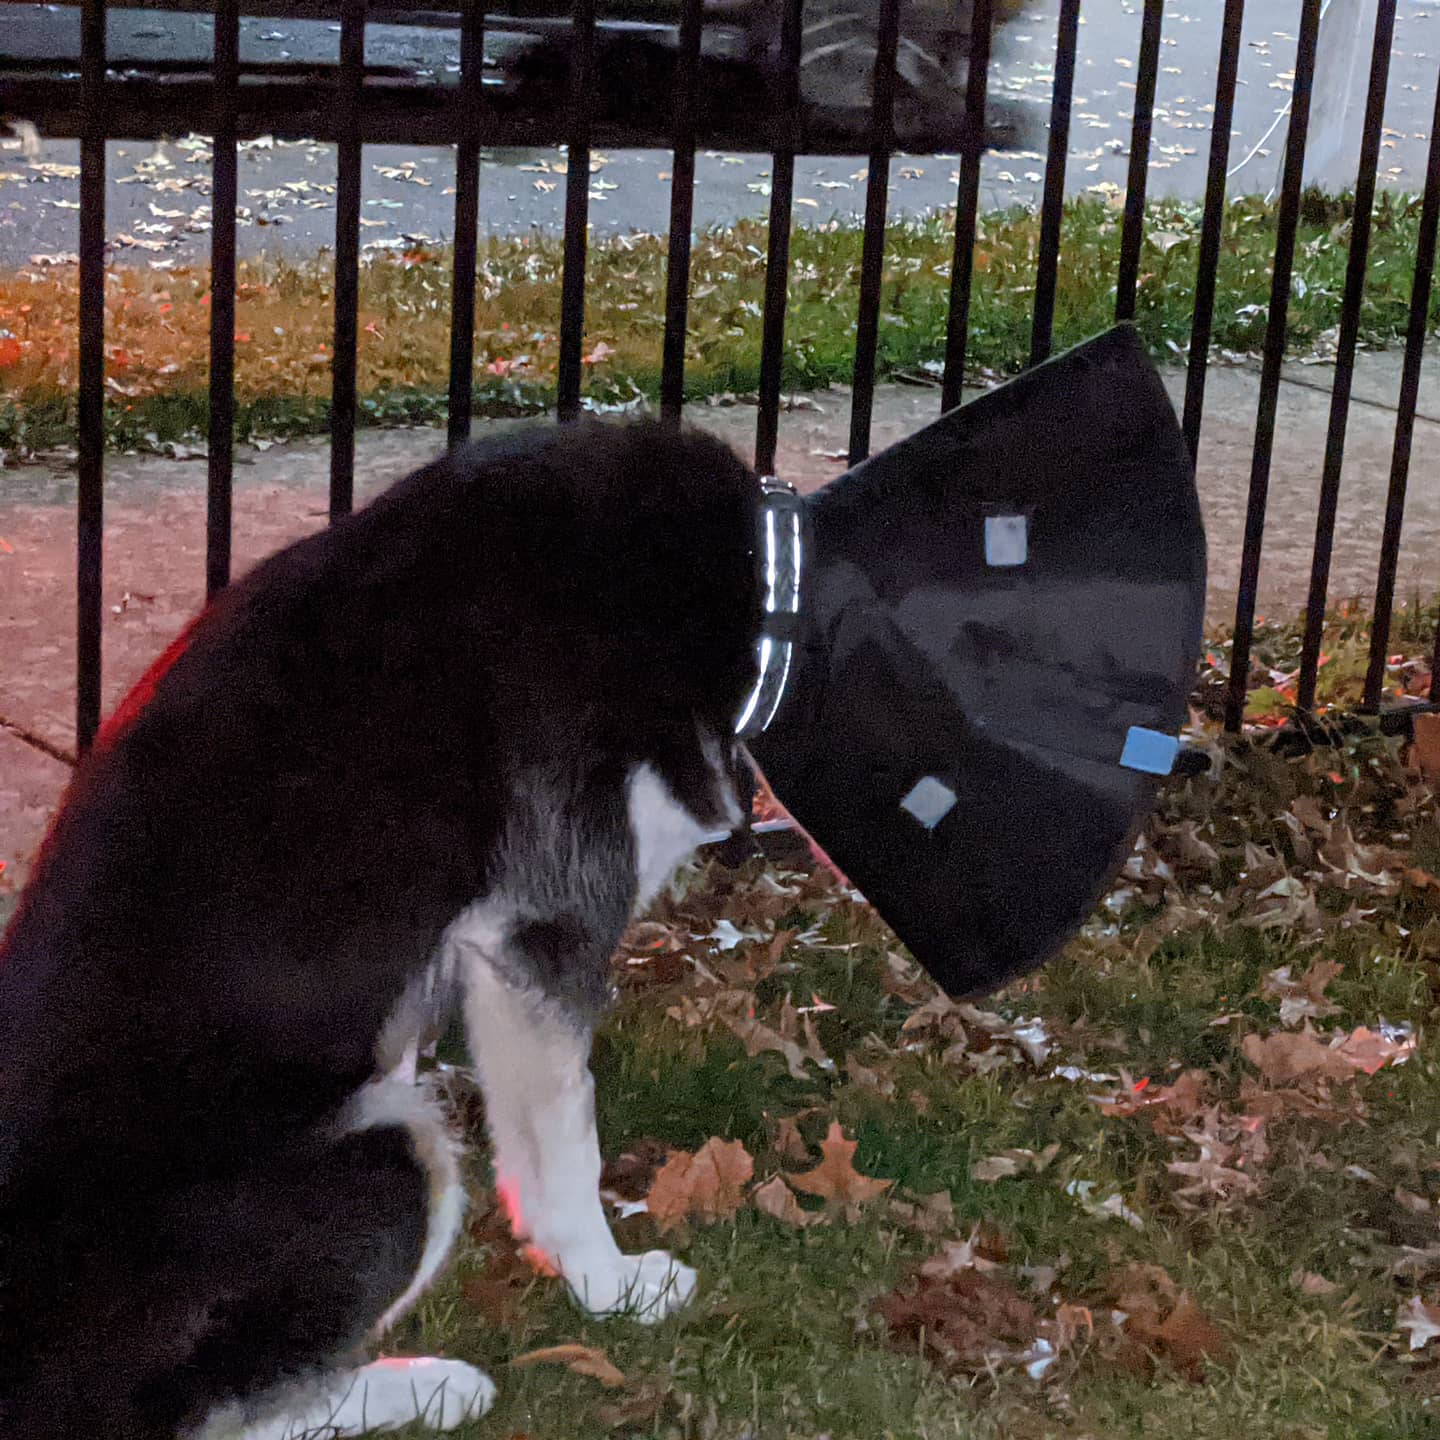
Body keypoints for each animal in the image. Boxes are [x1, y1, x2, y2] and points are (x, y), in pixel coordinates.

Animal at [0, 420, 766, 1434]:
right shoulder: (542, 932)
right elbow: (568, 1144)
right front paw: (609, 1283)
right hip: (392, 1153)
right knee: (210, 1414)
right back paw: (432, 1385)